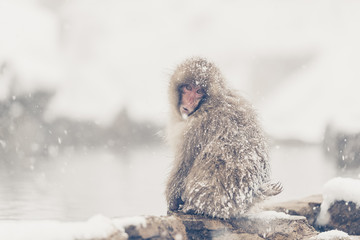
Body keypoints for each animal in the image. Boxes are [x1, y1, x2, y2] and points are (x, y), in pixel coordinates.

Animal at [165, 56, 282, 219]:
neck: (209, 103)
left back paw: (192, 207)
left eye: (199, 91)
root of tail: (250, 197)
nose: (189, 103)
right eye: (188, 88)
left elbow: (184, 164)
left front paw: (172, 202)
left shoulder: (196, 128)